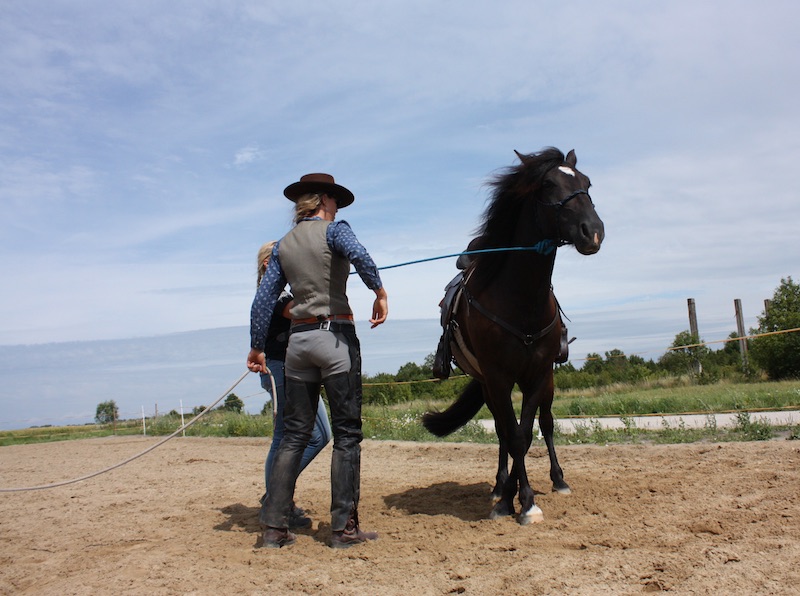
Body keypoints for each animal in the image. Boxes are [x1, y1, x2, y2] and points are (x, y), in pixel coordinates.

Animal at [422, 147, 604, 524]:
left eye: (586, 182)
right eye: (548, 184)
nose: (593, 231)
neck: (521, 299)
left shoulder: (538, 374)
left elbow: (528, 431)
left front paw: (523, 497)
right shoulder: (497, 377)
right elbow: (514, 436)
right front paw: (517, 500)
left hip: (545, 382)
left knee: (545, 424)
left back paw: (557, 480)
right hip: (490, 386)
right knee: (503, 432)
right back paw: (499, 487)